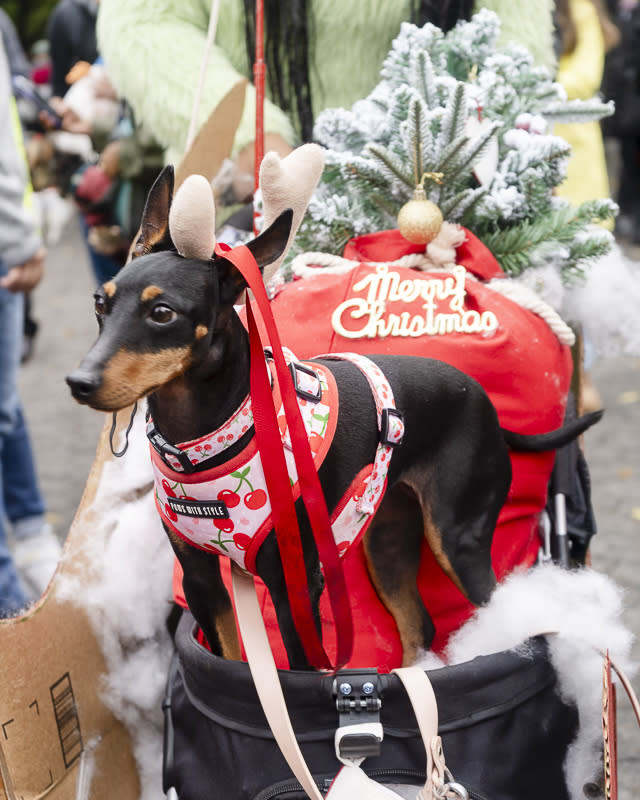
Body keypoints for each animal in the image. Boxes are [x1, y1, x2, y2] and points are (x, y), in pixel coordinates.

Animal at [67, 164, 604, 668]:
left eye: (162, 313)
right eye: (99, 303)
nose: (79, 381)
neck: (211, 439)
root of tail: (486, 406)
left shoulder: (295, 589)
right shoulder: (203, 581)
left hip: (457, 539)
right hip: (386, 538)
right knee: (419, 625)